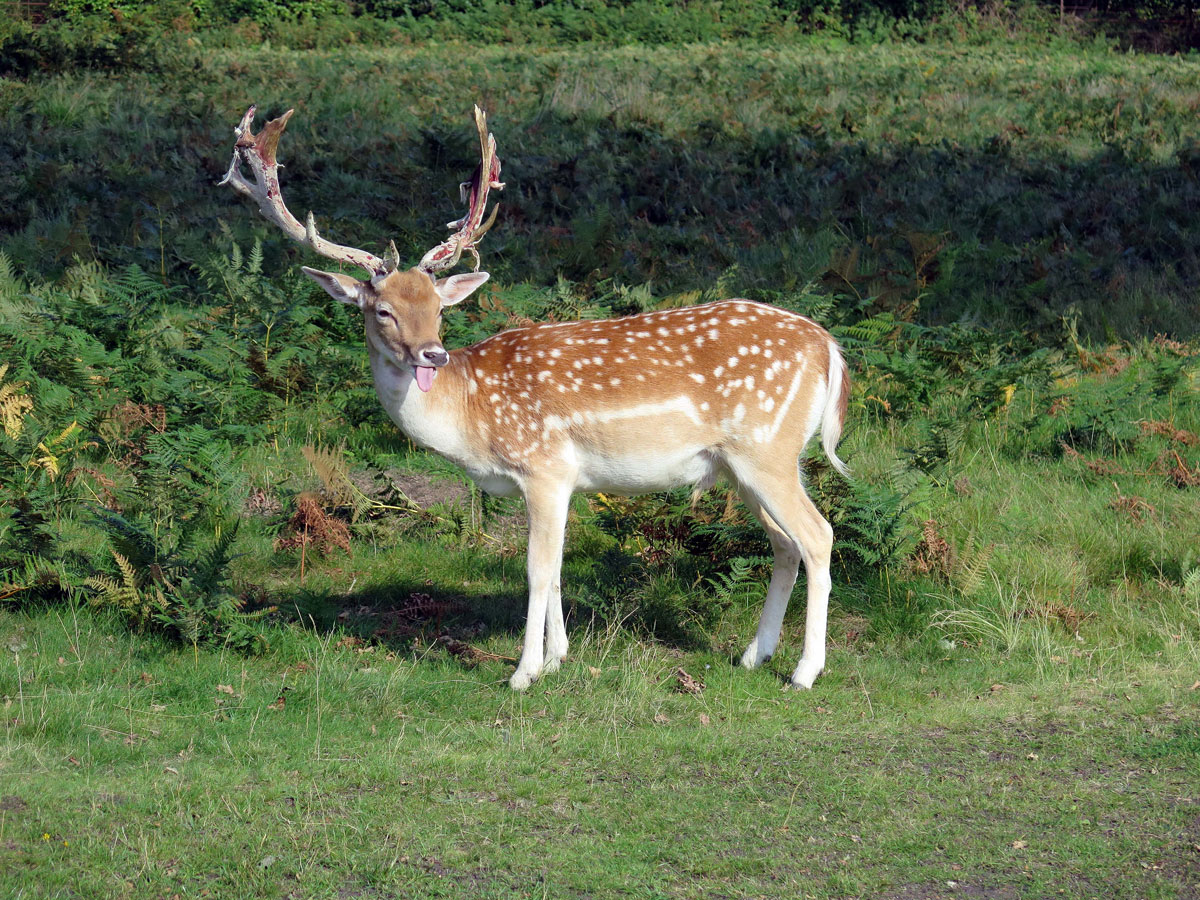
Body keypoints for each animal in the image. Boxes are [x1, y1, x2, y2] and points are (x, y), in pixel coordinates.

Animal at [222, 104, 850, 691]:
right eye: (383, 310)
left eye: (439, 308)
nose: (432, 355)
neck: (472, 419)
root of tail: (829, 349)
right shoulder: (559, 482)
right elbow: (557, 567)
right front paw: (558, 656)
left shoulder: (544, 466)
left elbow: (536, 570)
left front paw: (524, 671)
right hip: (741, 466)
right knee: (785, 544)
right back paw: (752, 655)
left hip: (767, 449)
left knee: (818, 536)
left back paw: (805, 670)